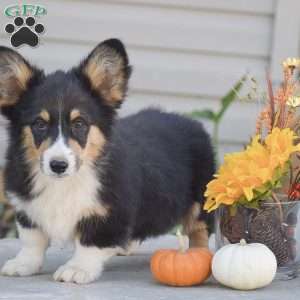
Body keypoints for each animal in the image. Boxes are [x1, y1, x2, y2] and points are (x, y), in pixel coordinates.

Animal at [0, 39, 216, 284]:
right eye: (39, 124)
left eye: (79, 124)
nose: (58, 165)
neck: (67, 181)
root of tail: (191, 122)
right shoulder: (27, 209)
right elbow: (32, 240)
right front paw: (23, 263)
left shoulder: (110, 213)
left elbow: (90, 242)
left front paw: (77, 269)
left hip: (202, 199)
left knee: (199, 230)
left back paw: (200, 255)